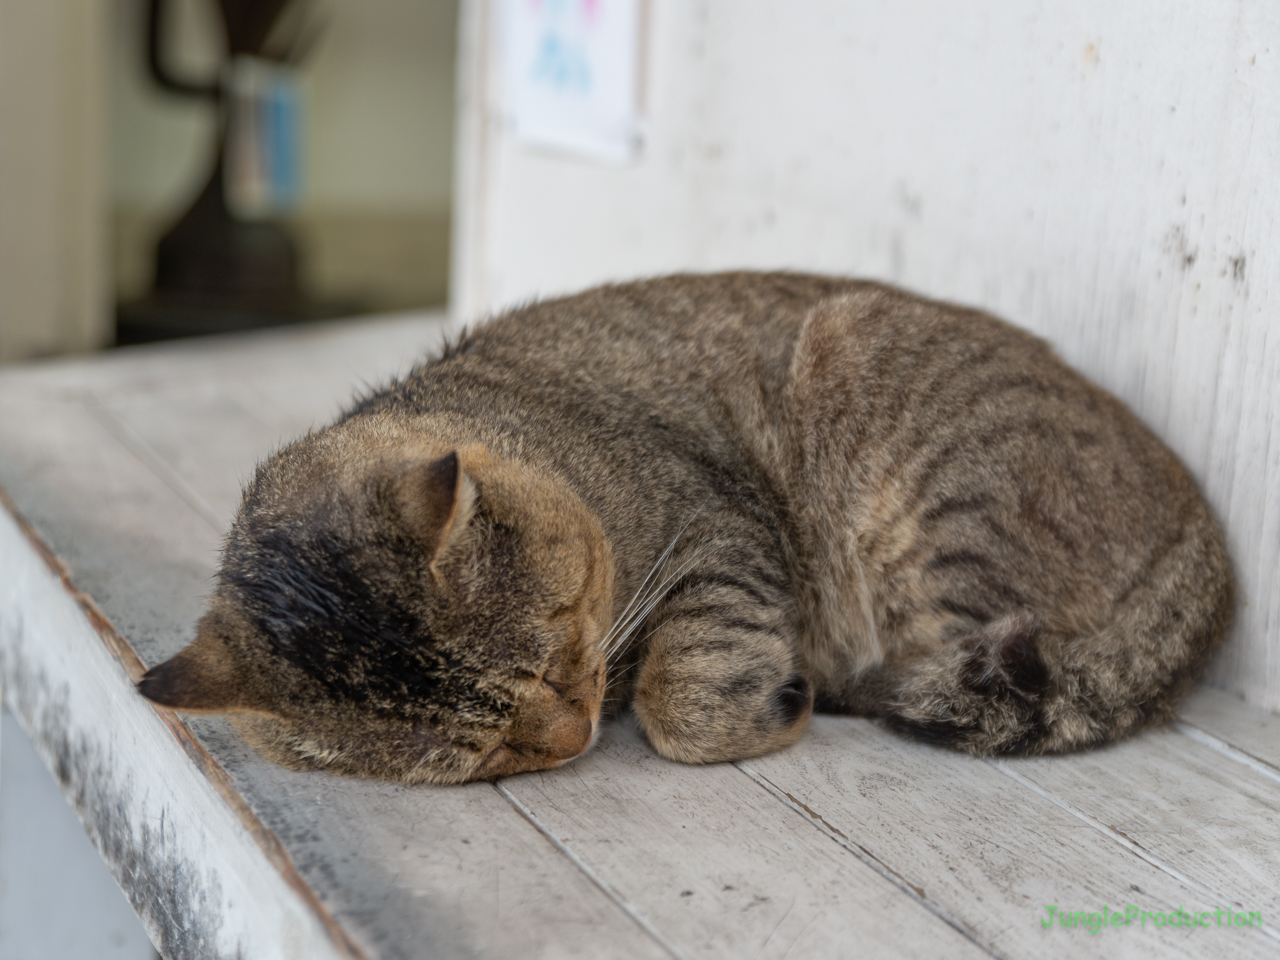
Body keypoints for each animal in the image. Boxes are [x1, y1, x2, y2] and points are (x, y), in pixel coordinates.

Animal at [137, 271, 1228, 783]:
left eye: (557, 647)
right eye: (484, 755)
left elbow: (687, 699)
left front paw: (758, 702)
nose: (574, 735)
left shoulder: (715, 535)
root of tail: (1198, 513)